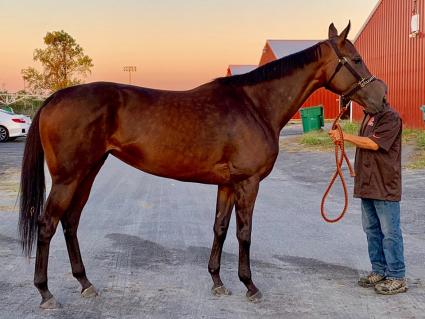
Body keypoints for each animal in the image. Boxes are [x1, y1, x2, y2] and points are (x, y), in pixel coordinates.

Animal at [19, 23, 384, 310]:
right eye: (356, 59)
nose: (380, 98)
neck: (255, 105)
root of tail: (54, 98)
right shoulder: (248, 182)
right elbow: (244, 233)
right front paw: (249, 285)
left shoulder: (227, 183)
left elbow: (220, 228)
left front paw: (218, 282)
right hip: (68, 177)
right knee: (48, 224)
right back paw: (46, 293)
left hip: (88, 172)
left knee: (70, 222)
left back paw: (85, 283)